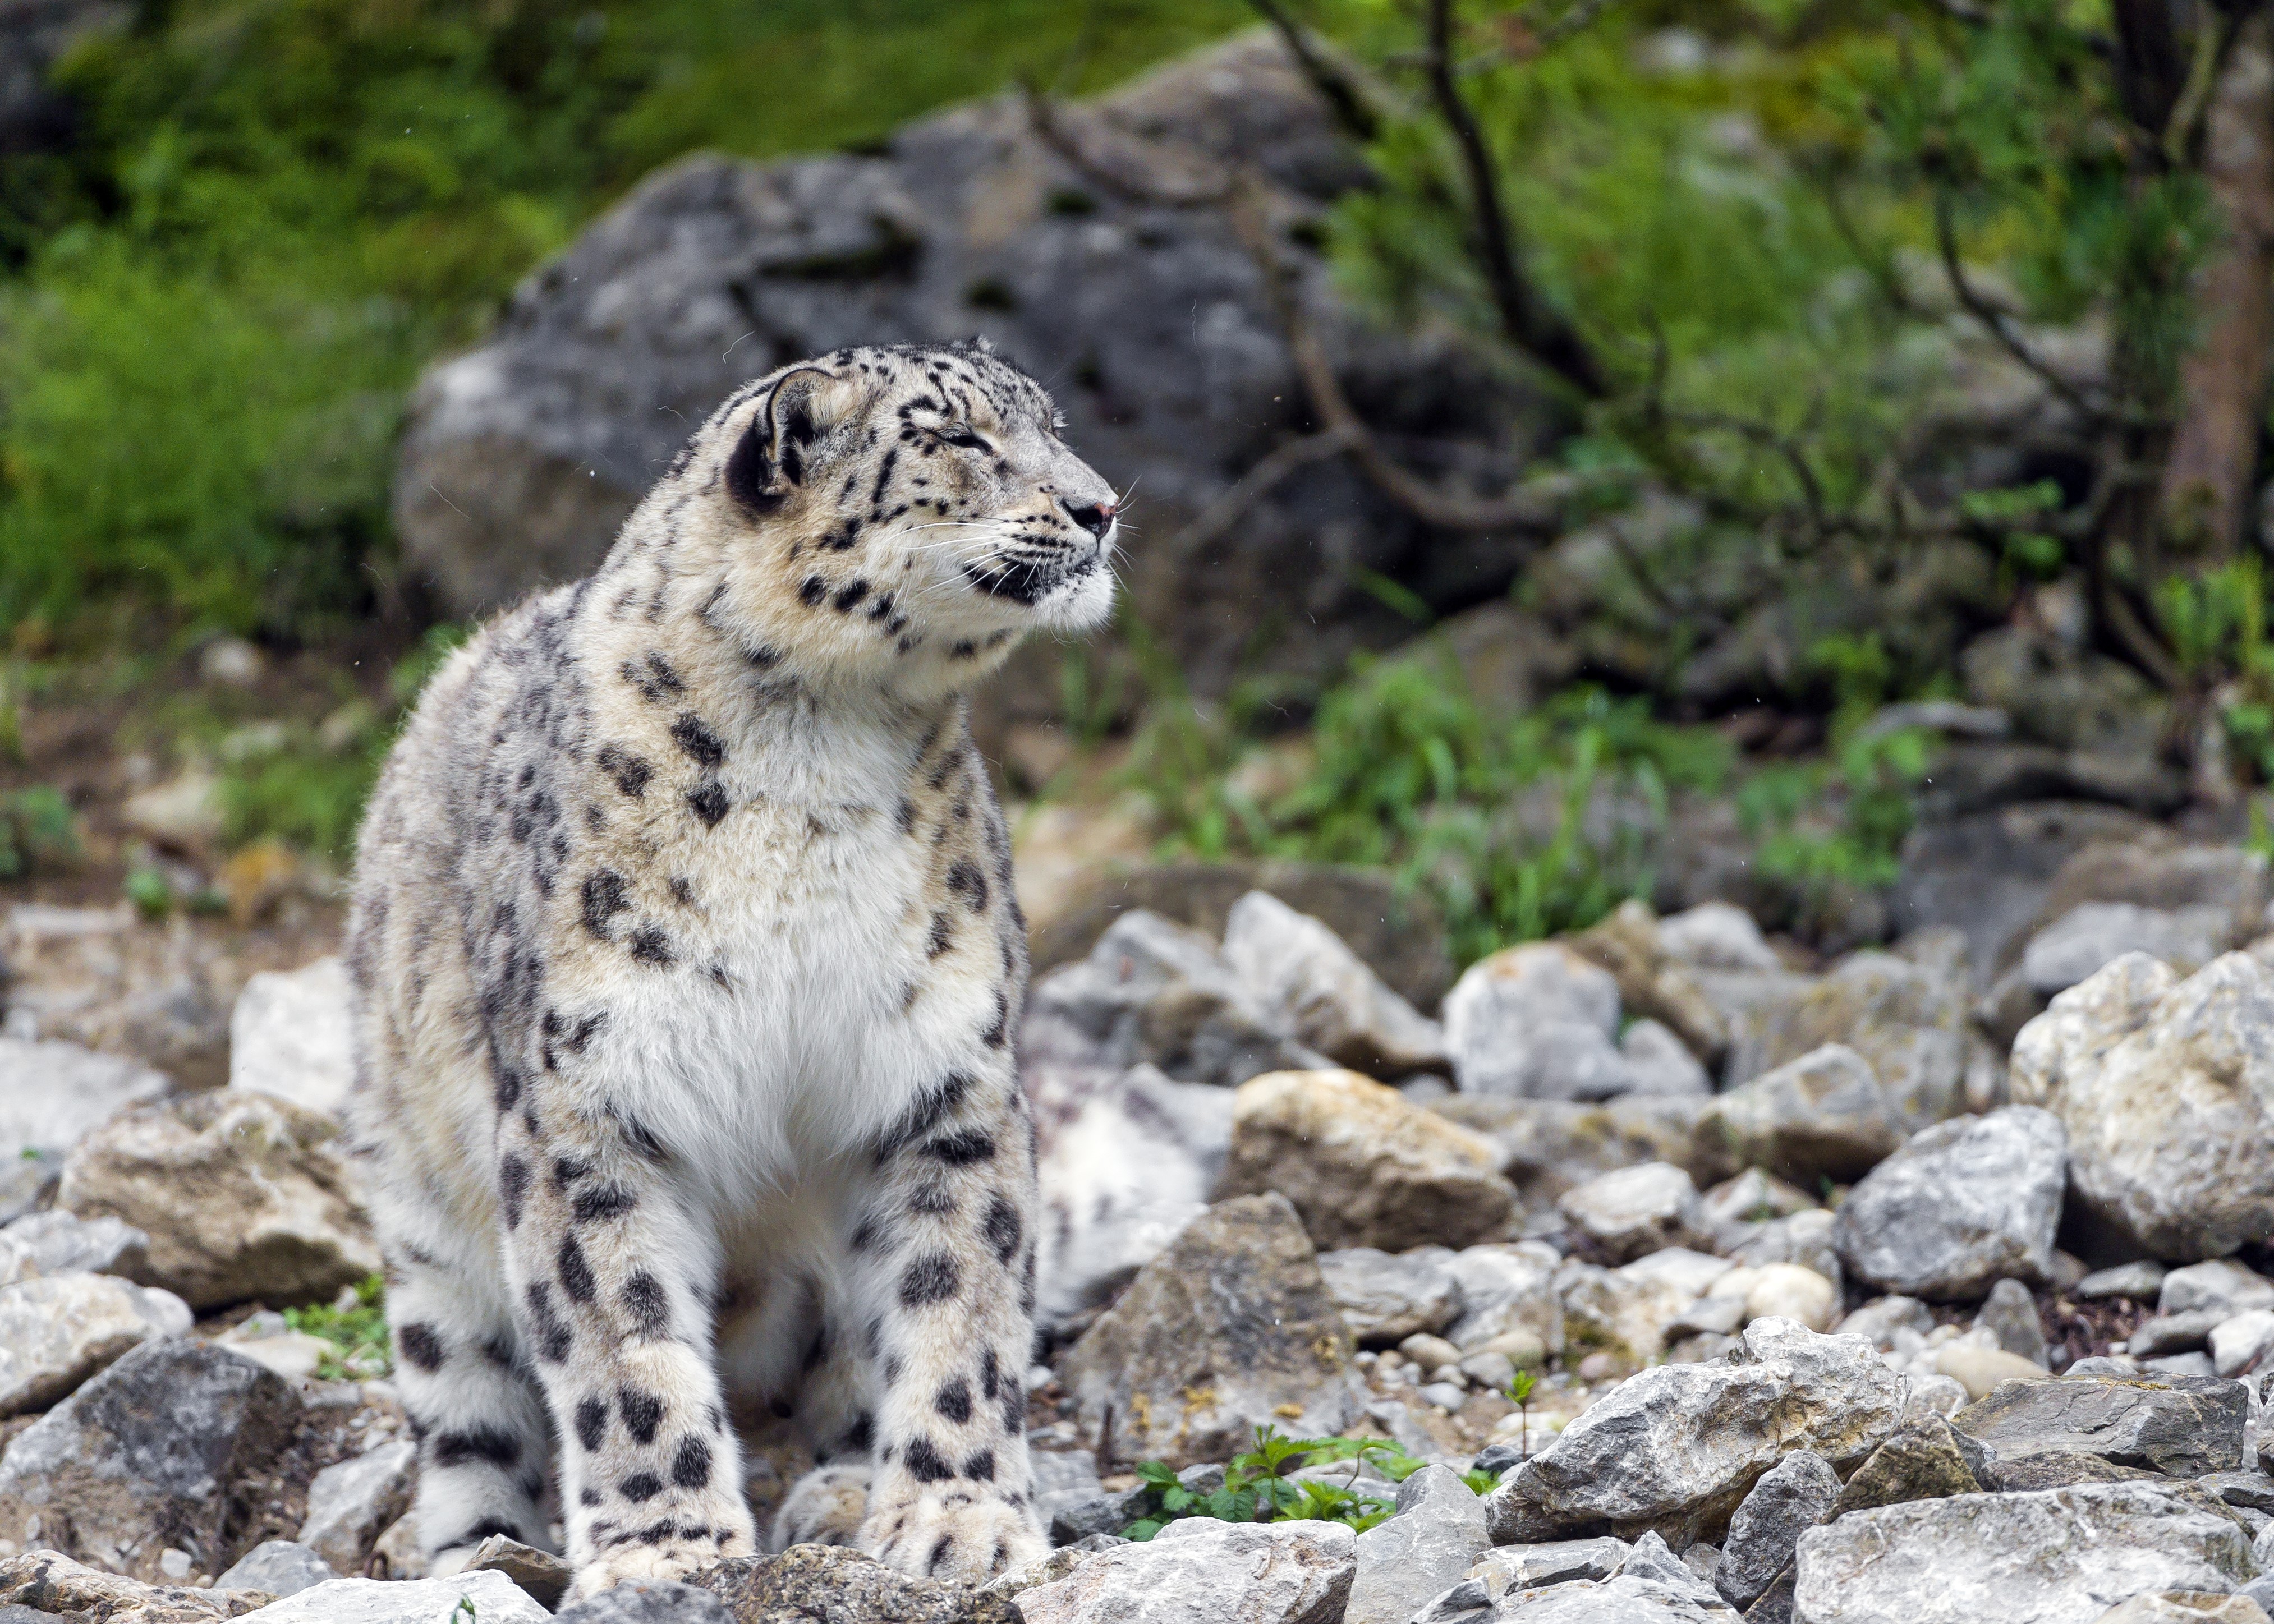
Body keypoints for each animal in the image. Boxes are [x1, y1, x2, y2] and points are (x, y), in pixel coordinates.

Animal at [341, 340, 1122, 1600]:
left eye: (1051, 425)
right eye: (957, 437)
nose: (1101, 505)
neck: (817, 754)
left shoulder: (942, 1076)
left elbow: (959, 1304)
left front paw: (956, 1517)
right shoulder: (590, 1103)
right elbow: (621, 1341)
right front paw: (665, 1545)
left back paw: (840, 1490)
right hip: (425, 1227)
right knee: (467, 1414)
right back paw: (489, 1550)